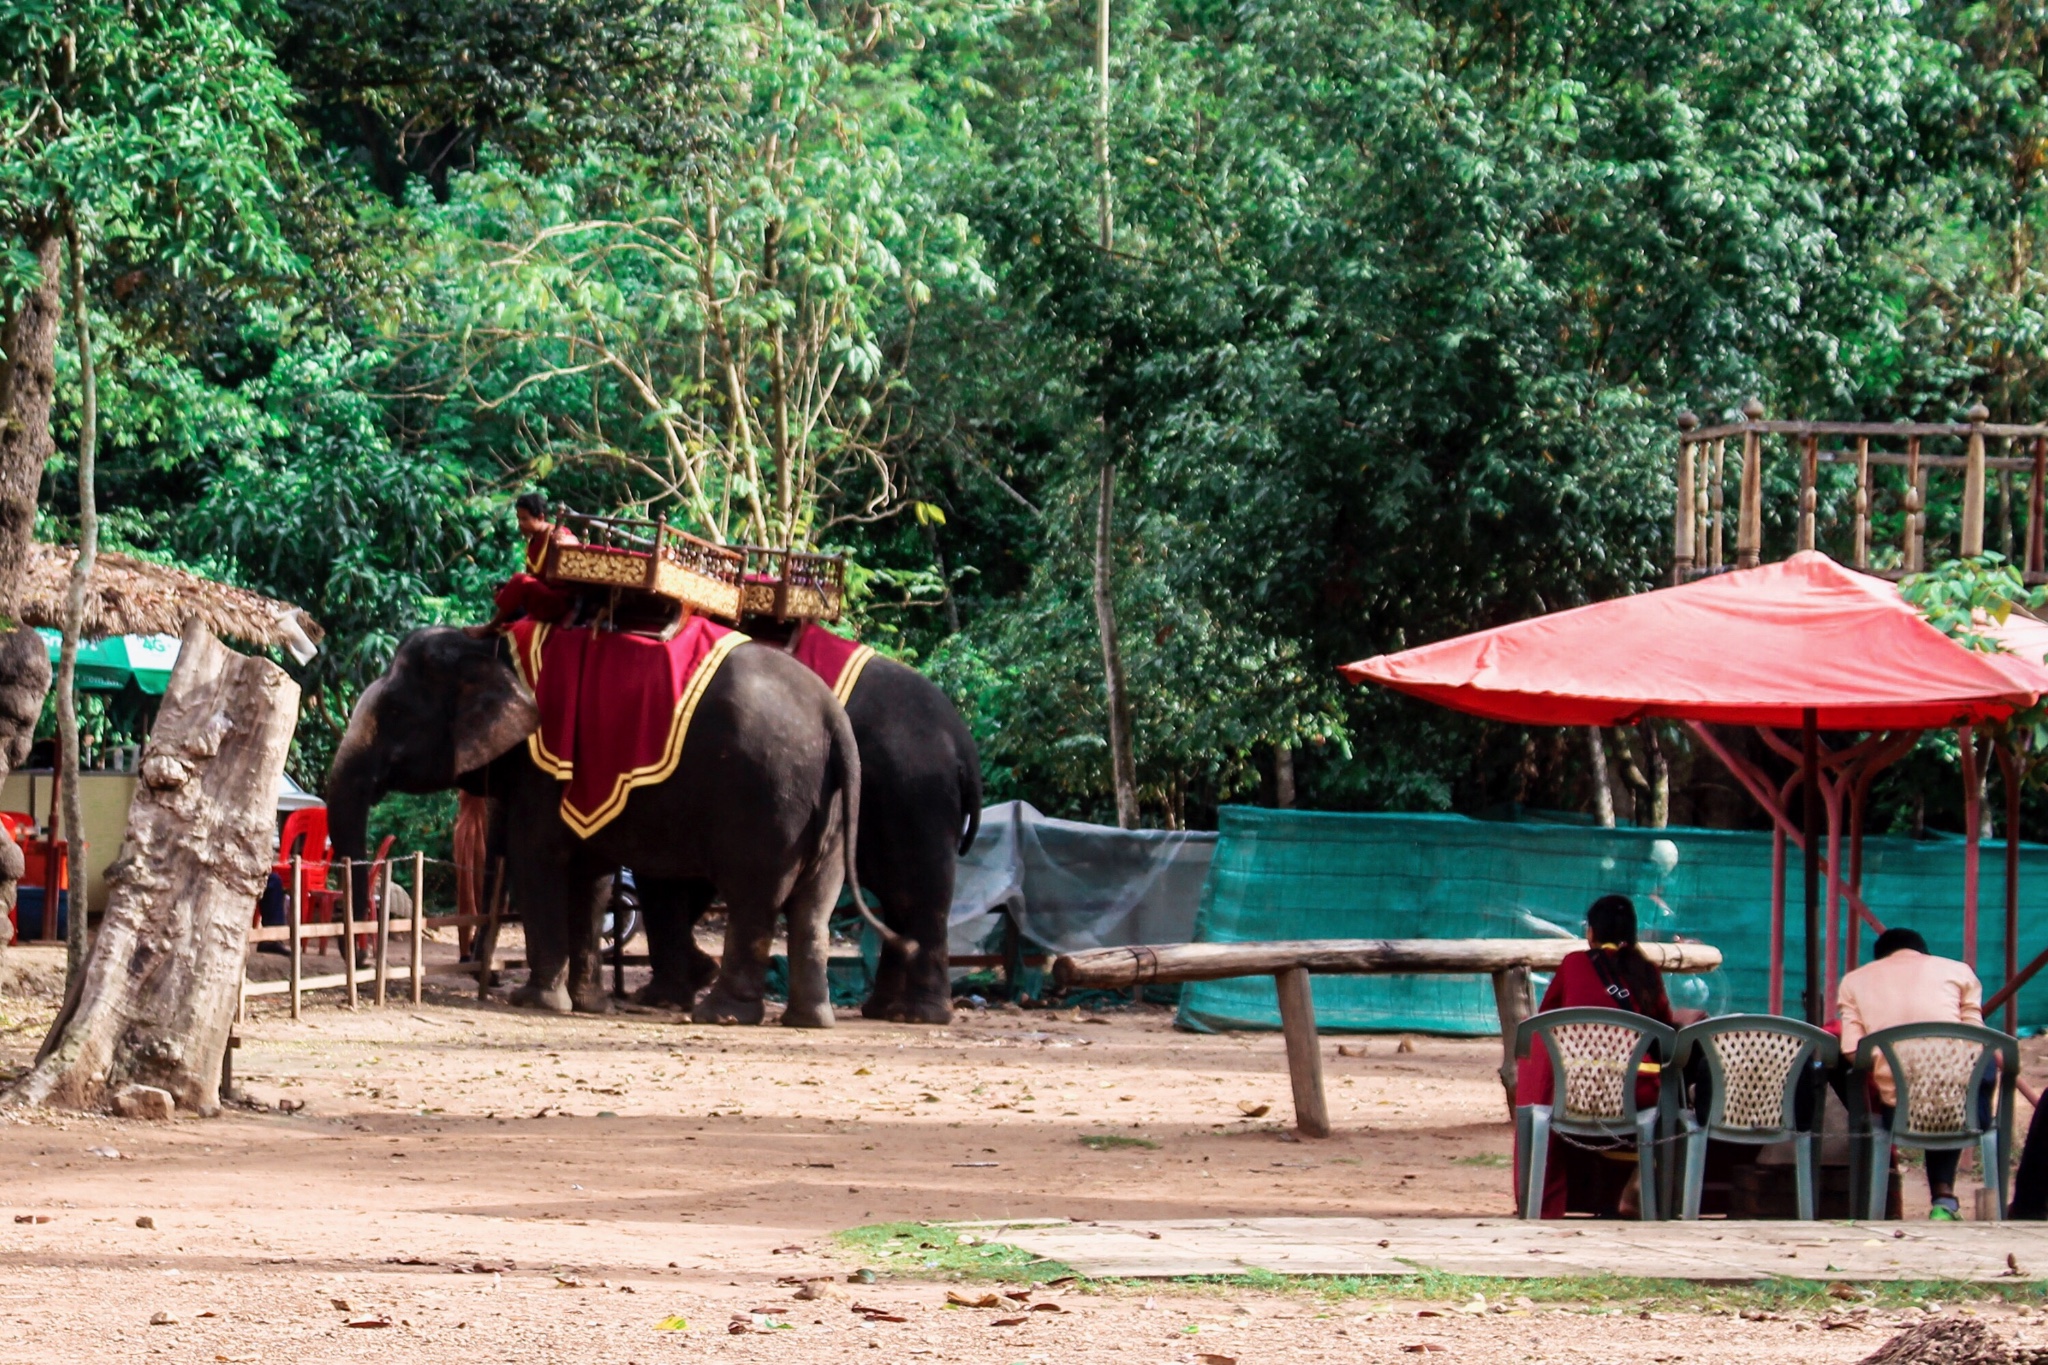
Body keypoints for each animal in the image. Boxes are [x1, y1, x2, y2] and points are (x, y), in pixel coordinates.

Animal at [323, 630, 901, 1023]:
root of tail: (833, 716)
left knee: (753, 897)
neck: (493, 643)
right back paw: (807, 1019)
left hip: (768, 794)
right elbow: (590, 876)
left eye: (396, 712)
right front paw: (588, 1004)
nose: (362, 965)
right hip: (828, 805)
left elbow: (538, 861)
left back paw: (721, 1015)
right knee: (813, 905)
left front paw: (536, 1002)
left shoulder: (547, 764)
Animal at [638, 634, 983, 1019]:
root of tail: (962, 743)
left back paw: (915, 1014)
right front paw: (694, 975)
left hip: (911, 794)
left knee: (917, 895)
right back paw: (884, 1010)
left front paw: (664, 995)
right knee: (902, 901)